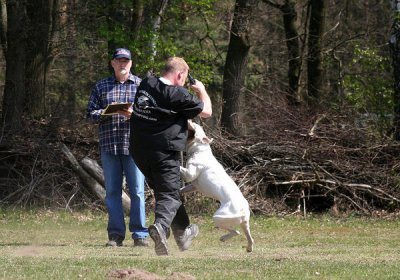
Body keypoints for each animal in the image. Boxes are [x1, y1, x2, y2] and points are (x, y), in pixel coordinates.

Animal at [180, 120, 255, 252]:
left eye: (195, 126)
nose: (190, 120)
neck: (200, 150)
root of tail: (242, 211)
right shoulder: (194, 186)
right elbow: (182, 189)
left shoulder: (190, 174)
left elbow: (181, 169)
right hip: (244, 224)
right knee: (248, 236)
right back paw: (249, 247)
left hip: (218, 218)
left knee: (236, 232)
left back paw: (224, 238)